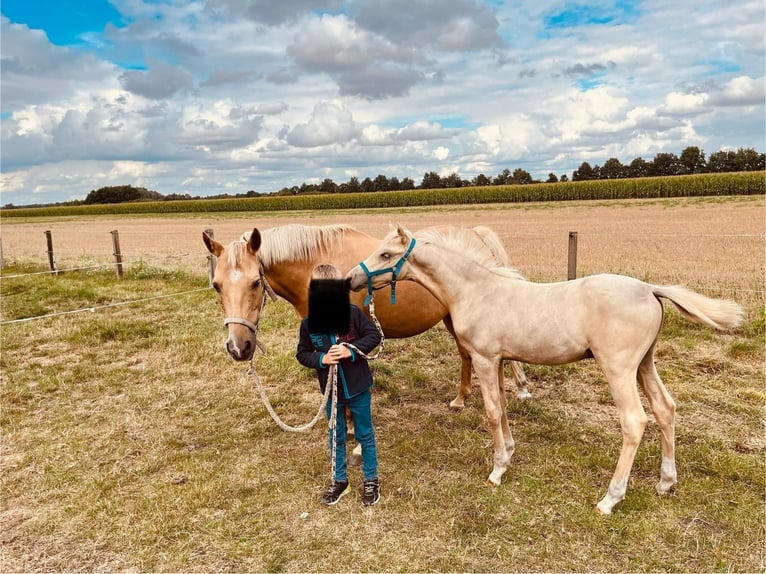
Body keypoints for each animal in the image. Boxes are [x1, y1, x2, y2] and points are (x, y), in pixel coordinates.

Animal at [201, 223, 532, 408]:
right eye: (216, 285)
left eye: (255, 283)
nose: (238, 347)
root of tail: (475, 234)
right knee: (465, 355)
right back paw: (461, 399)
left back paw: (520, 388)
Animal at [348, 226, 744, 516]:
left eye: (386, 254)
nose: (352, 279)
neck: (476, 291)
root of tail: (649, 289)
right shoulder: (500, 360)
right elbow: (504, 408)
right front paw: (508, 455)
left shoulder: (485, 359)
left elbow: (491, 411)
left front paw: (496, 471)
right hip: (645, 364)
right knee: (665, 409)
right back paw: (665, 482)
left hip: (619, 370)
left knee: (635, 421)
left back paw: (610, 499)